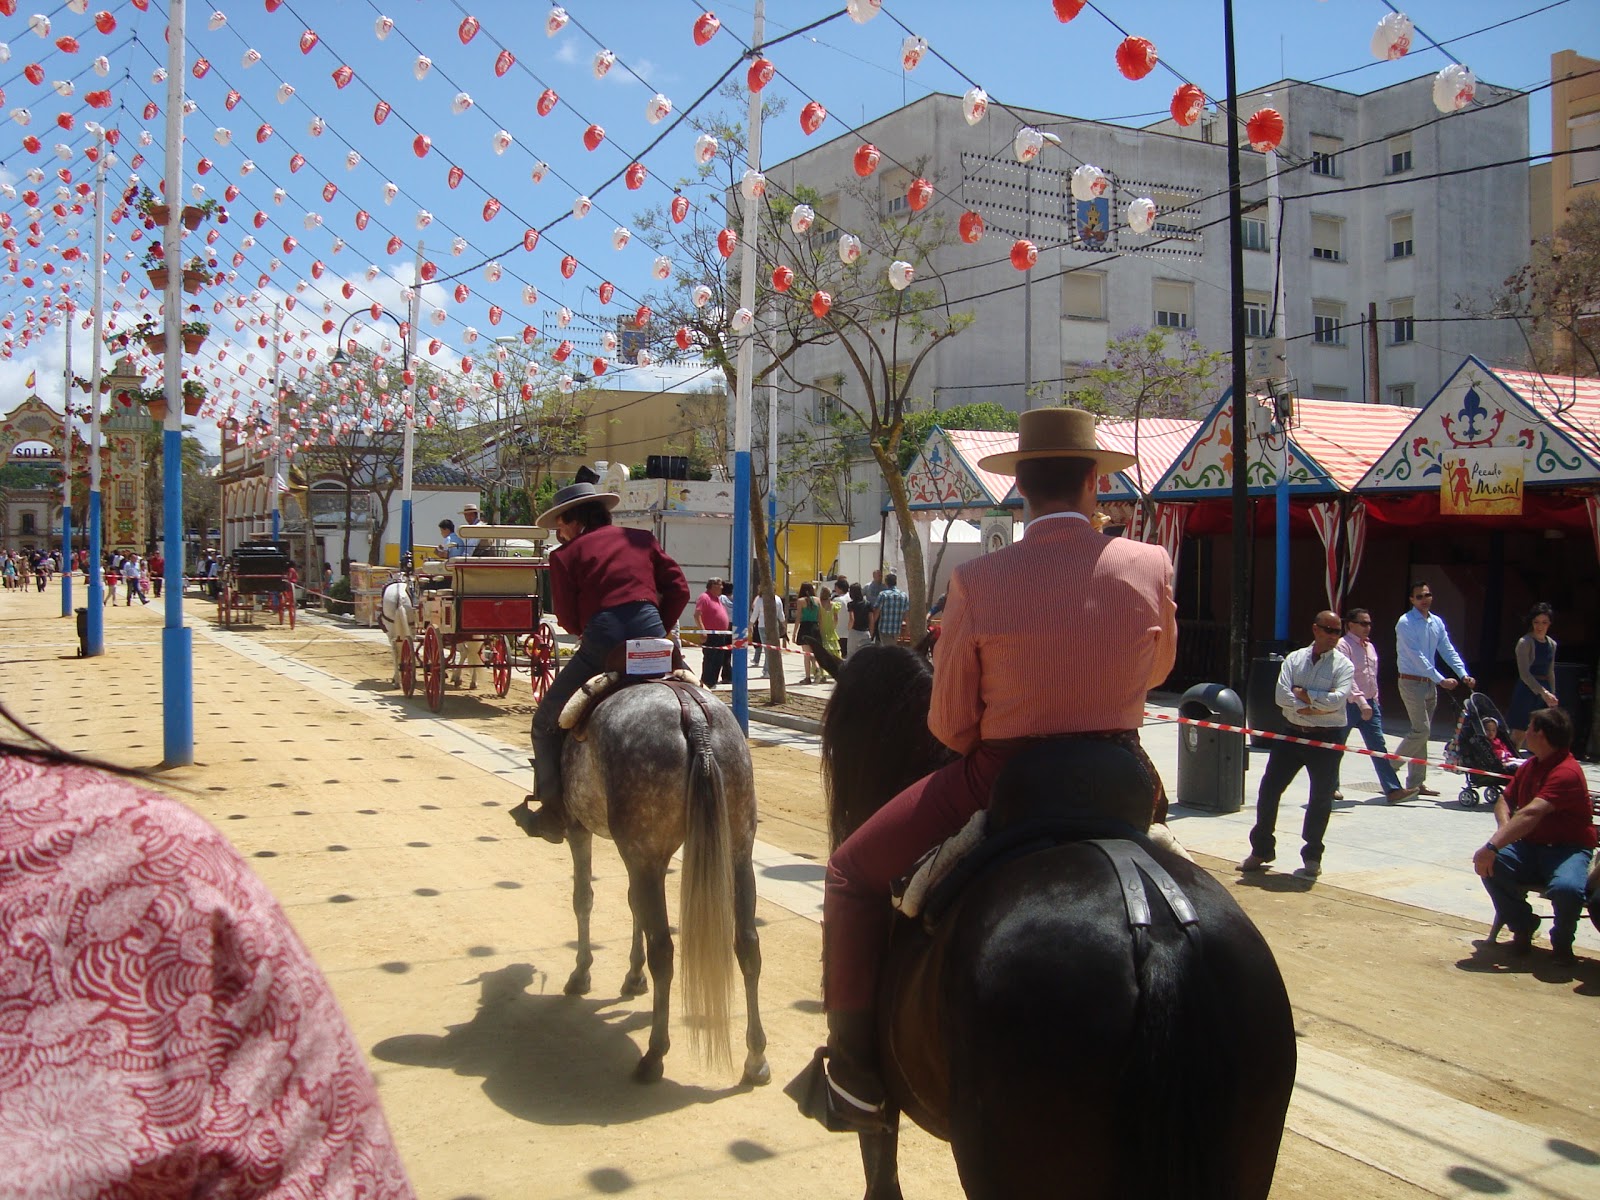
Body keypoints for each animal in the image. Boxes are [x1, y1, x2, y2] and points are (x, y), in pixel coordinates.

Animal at [556, 675, 770, 1087]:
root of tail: (696, 724)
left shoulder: (583, 829)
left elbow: (583, 898)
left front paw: (581, 973)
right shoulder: (644, 857)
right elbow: (632, 905)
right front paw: (632, 976)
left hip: (644, 851)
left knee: (664, 951)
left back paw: (654, 1054)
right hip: (736, 848)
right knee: (747, 944)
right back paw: (755, 1058)